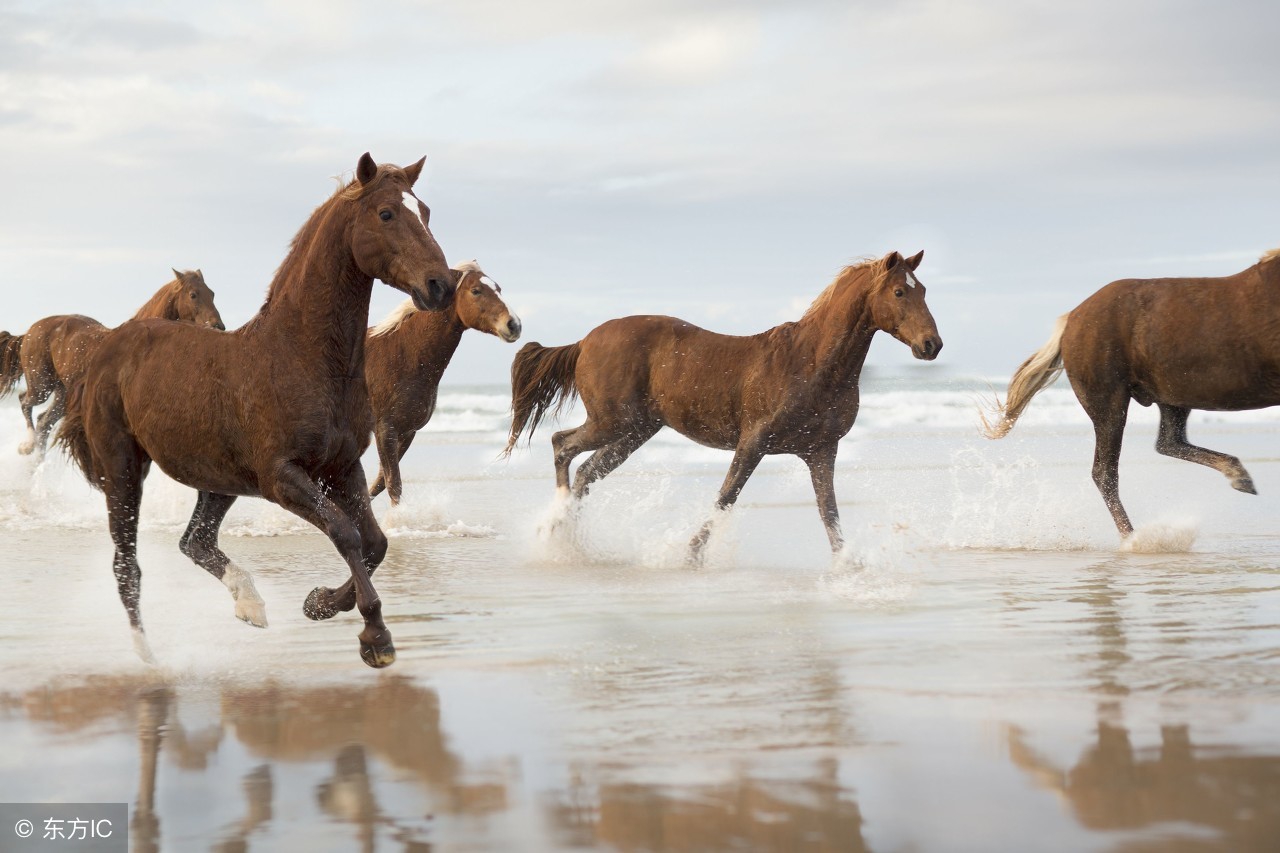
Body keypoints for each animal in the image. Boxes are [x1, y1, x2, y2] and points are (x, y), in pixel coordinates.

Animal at [0, 270, 222, 458]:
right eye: (193, 295)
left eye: (212, 293)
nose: (218, 326)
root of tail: (30, 331)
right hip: (41, 386)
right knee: (24, 402)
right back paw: (26, 447)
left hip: (63, 394)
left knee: (43, 422)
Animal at [56, 154, 455, 671]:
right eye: (386, 213)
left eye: (424, 211)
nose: (441, 286)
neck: (299, 355)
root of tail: (107, 346)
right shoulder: (281, 477)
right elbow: (345, 533)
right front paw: (375, 637)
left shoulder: (342, 468)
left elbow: (376, 543)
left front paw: (320, 603)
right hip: (123, 470)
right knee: (128, 564)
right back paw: (149, 656)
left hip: (219, 478)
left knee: (195, 541)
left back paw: (251, 605)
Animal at [363, 256, 522, 502]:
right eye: (476, 290)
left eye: (499, 288)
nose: (514, 325)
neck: (401, 354)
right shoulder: (385, 429)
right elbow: (392, 484)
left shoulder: (407, 432)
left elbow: (379, 484)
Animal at [506, 251, 942, 558]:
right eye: (899, 291)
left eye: (922, 290)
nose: (931, 345)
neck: (810, 362)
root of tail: (584, 341)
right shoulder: (754, 442)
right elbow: (726, 496)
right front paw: (690, 556)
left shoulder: (821, 450)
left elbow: (828, 511)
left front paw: (848, 564)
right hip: (612, 422)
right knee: (563, 446)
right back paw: (554, 527)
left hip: (634, 432)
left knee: (587, 472)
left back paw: (566, 534)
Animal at [983, 249, 1280, 535]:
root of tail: (1071, 319)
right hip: (1110, 405)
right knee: (1105, 473)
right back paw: (1132, 538)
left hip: (1172, 396)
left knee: (1168, 442)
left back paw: (1238, 476)